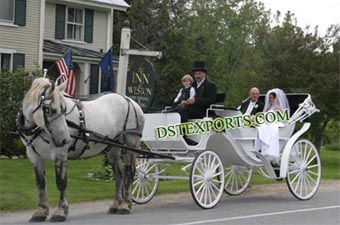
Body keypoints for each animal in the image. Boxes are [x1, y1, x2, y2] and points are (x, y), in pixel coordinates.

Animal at [17, 78, 144, 221]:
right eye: (50, 110)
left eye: (64, 109)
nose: (65, 140)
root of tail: (131, 101)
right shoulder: (34, 156)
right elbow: (40, 183)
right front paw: (41, 211)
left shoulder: (60, 154)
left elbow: (61, 182)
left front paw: (61, 211)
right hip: (113, 149)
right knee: (119, 174)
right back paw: (116, 204)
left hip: (130, 145)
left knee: (129, 172)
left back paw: (125, 205)